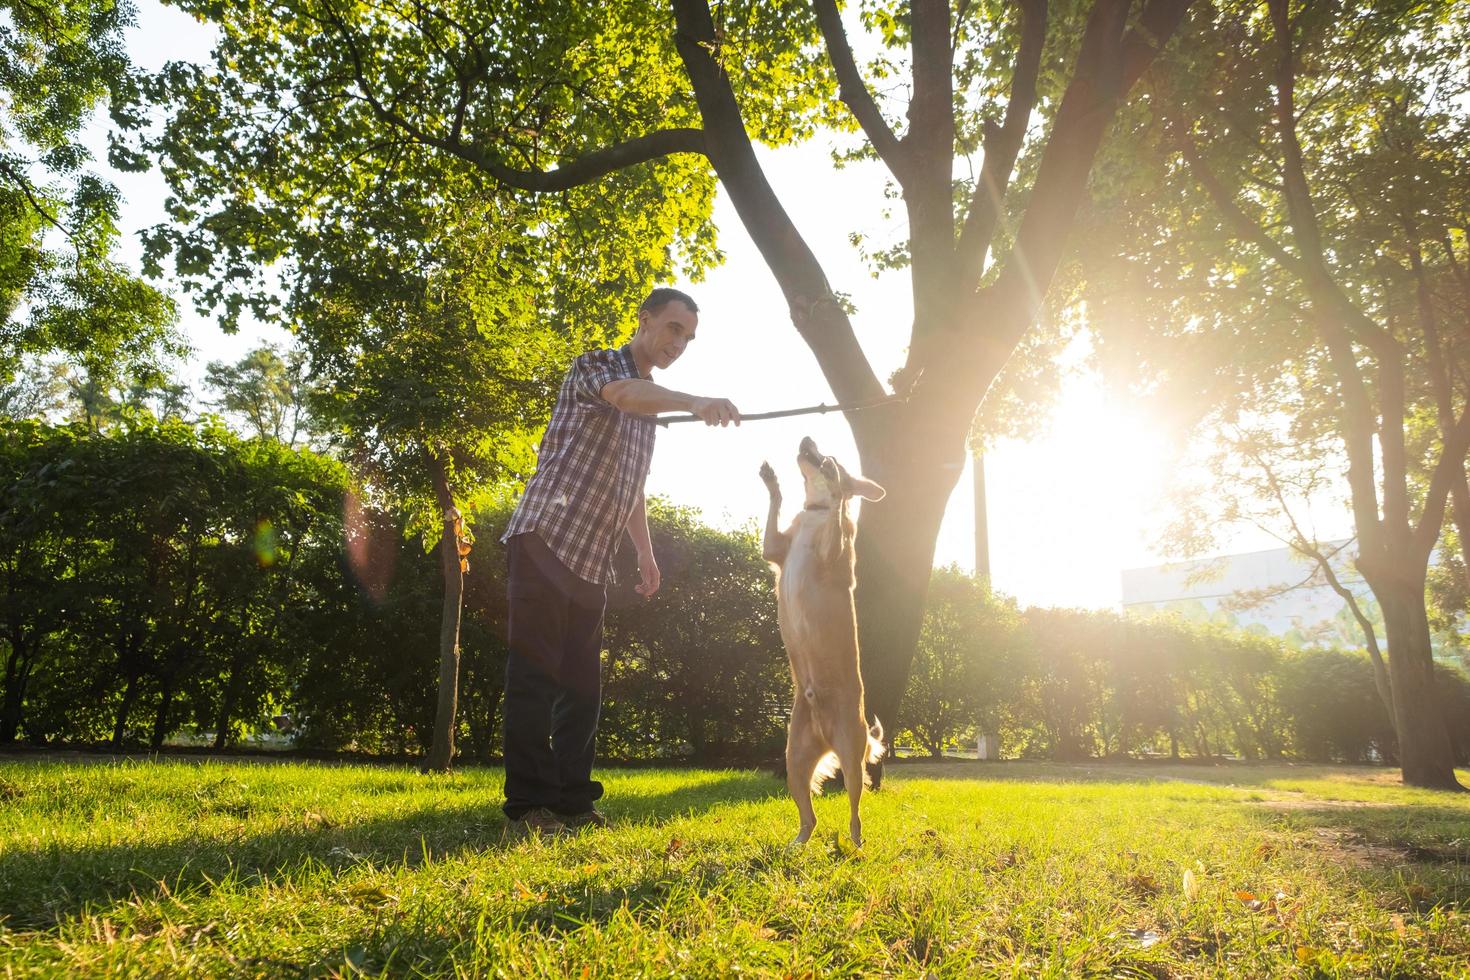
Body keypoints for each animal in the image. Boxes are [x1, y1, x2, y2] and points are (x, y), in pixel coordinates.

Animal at [758, 437, 882, 852]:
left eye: (834, 453)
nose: (807, 440)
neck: (815, 512)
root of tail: (825, 738)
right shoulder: (773, 548)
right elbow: (777, 508)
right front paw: (772, 481)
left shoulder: (833, 550)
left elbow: (839, 517)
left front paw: (837, 486)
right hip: (794, 762)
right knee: (808, 817)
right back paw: (796, 844)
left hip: (851, 758)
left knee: (856, 807)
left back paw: (857, 843)